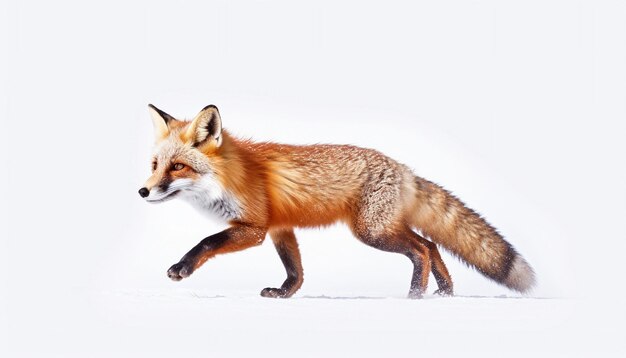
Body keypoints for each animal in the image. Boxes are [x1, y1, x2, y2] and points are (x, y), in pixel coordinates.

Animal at [139, 105, 532, 298]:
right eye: (155, 165)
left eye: (178, 167)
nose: (143, 192)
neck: (229, 176)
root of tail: (404, 169)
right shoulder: (281, 228)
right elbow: (295, 270)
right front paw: (285, 293)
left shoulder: (254, 228)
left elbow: (207, 241)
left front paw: (182, 268)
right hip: (383, 228)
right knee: (432, 245)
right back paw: (445, 293)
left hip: (372, 232)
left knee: (422, 249)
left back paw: (416, 295)